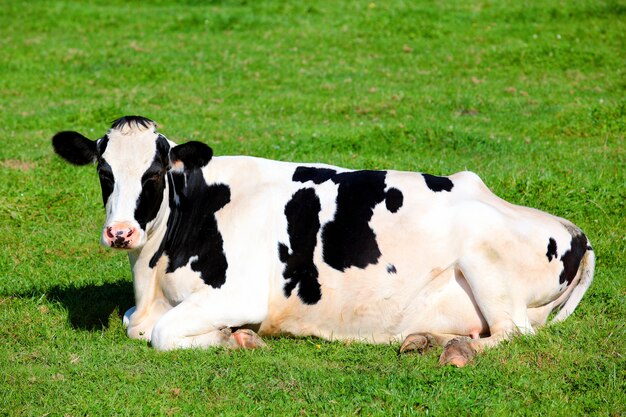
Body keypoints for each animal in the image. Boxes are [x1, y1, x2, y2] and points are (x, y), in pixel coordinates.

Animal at [51, 116, 592, 364]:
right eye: (103, 171)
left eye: (155, 171)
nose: (120, 232)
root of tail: (574, 230)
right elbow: (132, 324)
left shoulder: (239, 294)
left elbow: (160, 335)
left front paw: (236, 338)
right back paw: (426, 339)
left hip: (485, 261)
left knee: (512, 332)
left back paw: (456, 349)